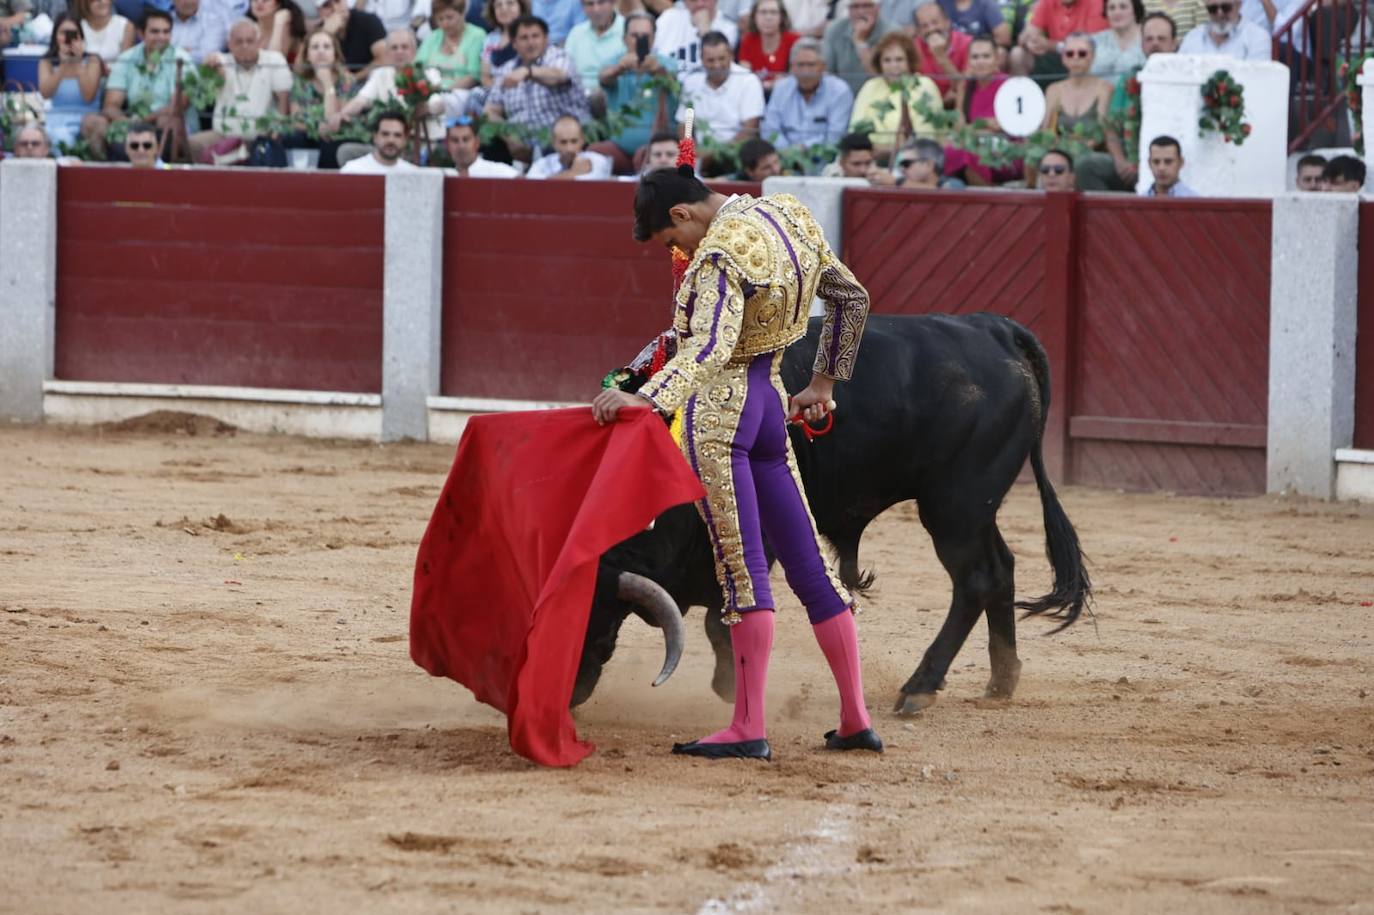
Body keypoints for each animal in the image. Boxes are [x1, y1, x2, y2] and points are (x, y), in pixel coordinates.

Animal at [574, 313, 1088, 714]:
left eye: (594, 623)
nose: (570, 697)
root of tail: (993, 328)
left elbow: (721, 621)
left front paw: (739, 690)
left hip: (954, 507)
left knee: (976, 579)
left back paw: (919, 688)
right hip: (975, 510)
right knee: (1002, 568)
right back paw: (1001, 679)